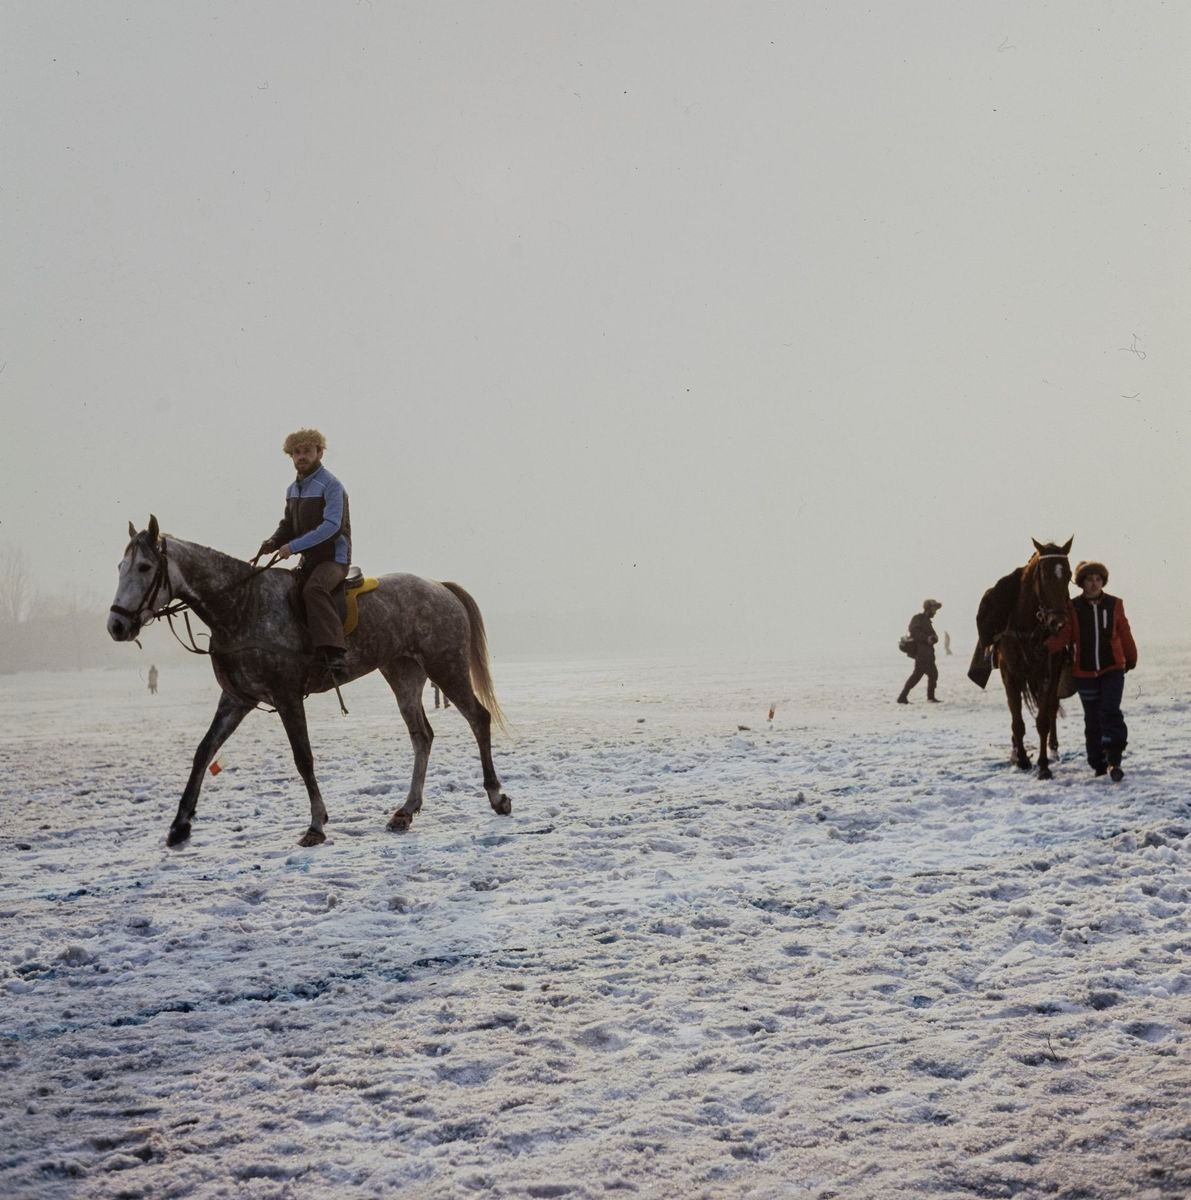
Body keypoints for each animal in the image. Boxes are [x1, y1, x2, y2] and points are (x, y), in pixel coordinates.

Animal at [979, 535, 1075, 777]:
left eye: (1069, 574)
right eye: (1045, 574)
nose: (1058, 622)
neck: (1027, 628)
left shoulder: (1047, 674)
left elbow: (1043, 721)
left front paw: (1043, 766)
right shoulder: (1010, 675)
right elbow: (1017, 721)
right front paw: (1021, 758)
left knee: (1051, 710)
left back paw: (1053, 749)